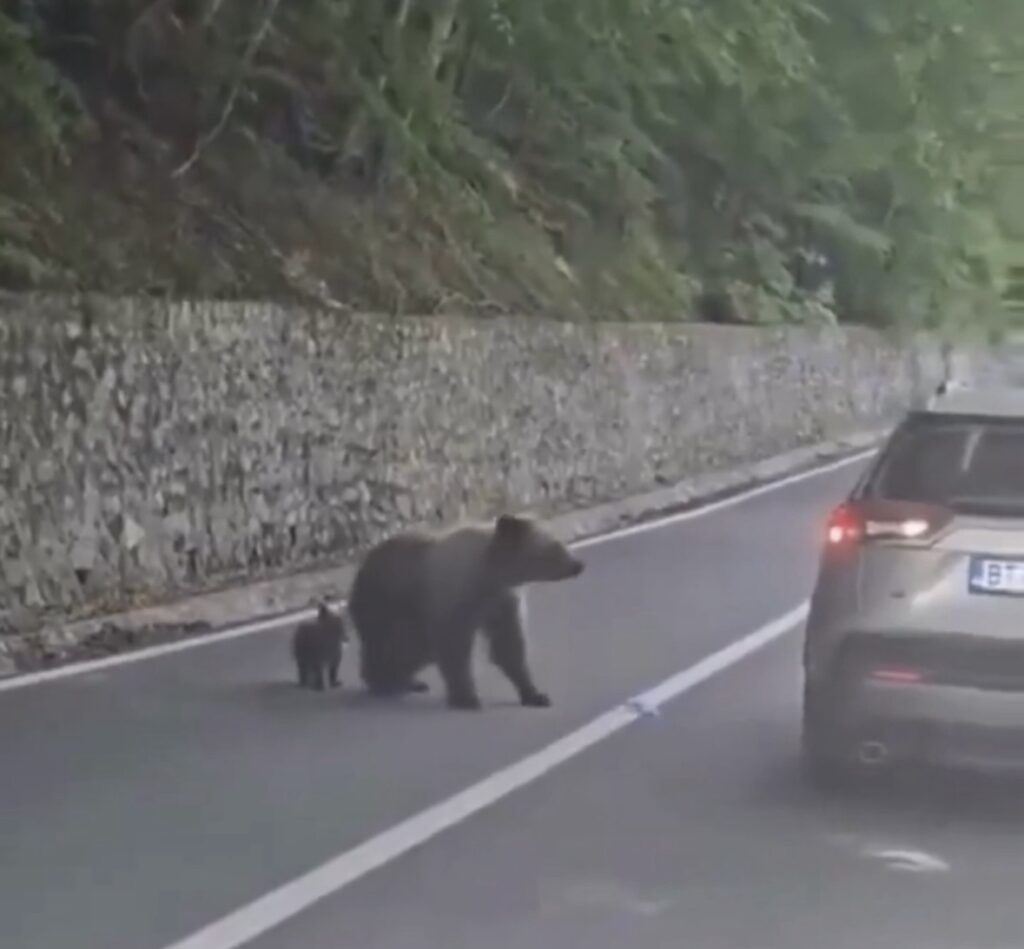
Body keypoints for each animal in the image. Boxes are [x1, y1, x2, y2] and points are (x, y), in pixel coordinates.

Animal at [347, 513, 585, 710]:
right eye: (555, 546)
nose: (578, 565)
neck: (490, 574)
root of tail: (362, 566)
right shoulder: (455, 597)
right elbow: (455, 648)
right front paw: (467, 698)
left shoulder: (503, 601)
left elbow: (509, 645)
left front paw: (535, 694)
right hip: (387, 605)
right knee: (396, 645)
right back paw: (383, 681)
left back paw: (407, 681)